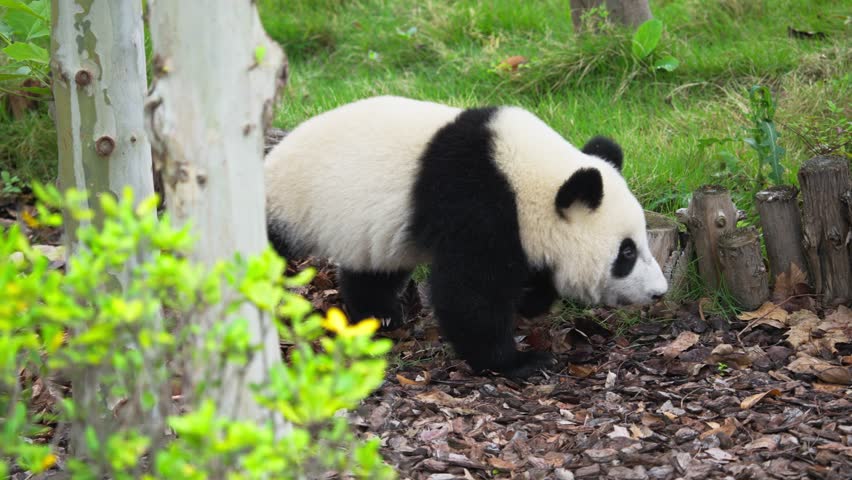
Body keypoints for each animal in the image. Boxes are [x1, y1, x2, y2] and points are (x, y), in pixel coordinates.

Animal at [265, 96, 668, 377]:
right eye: (627, 253)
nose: (659, 292)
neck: (527, 175)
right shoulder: (475, 202)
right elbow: (469, 292)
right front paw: (519, 361)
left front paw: (532, 299)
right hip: (289, 203)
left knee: (375, 266)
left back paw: (380, 315)